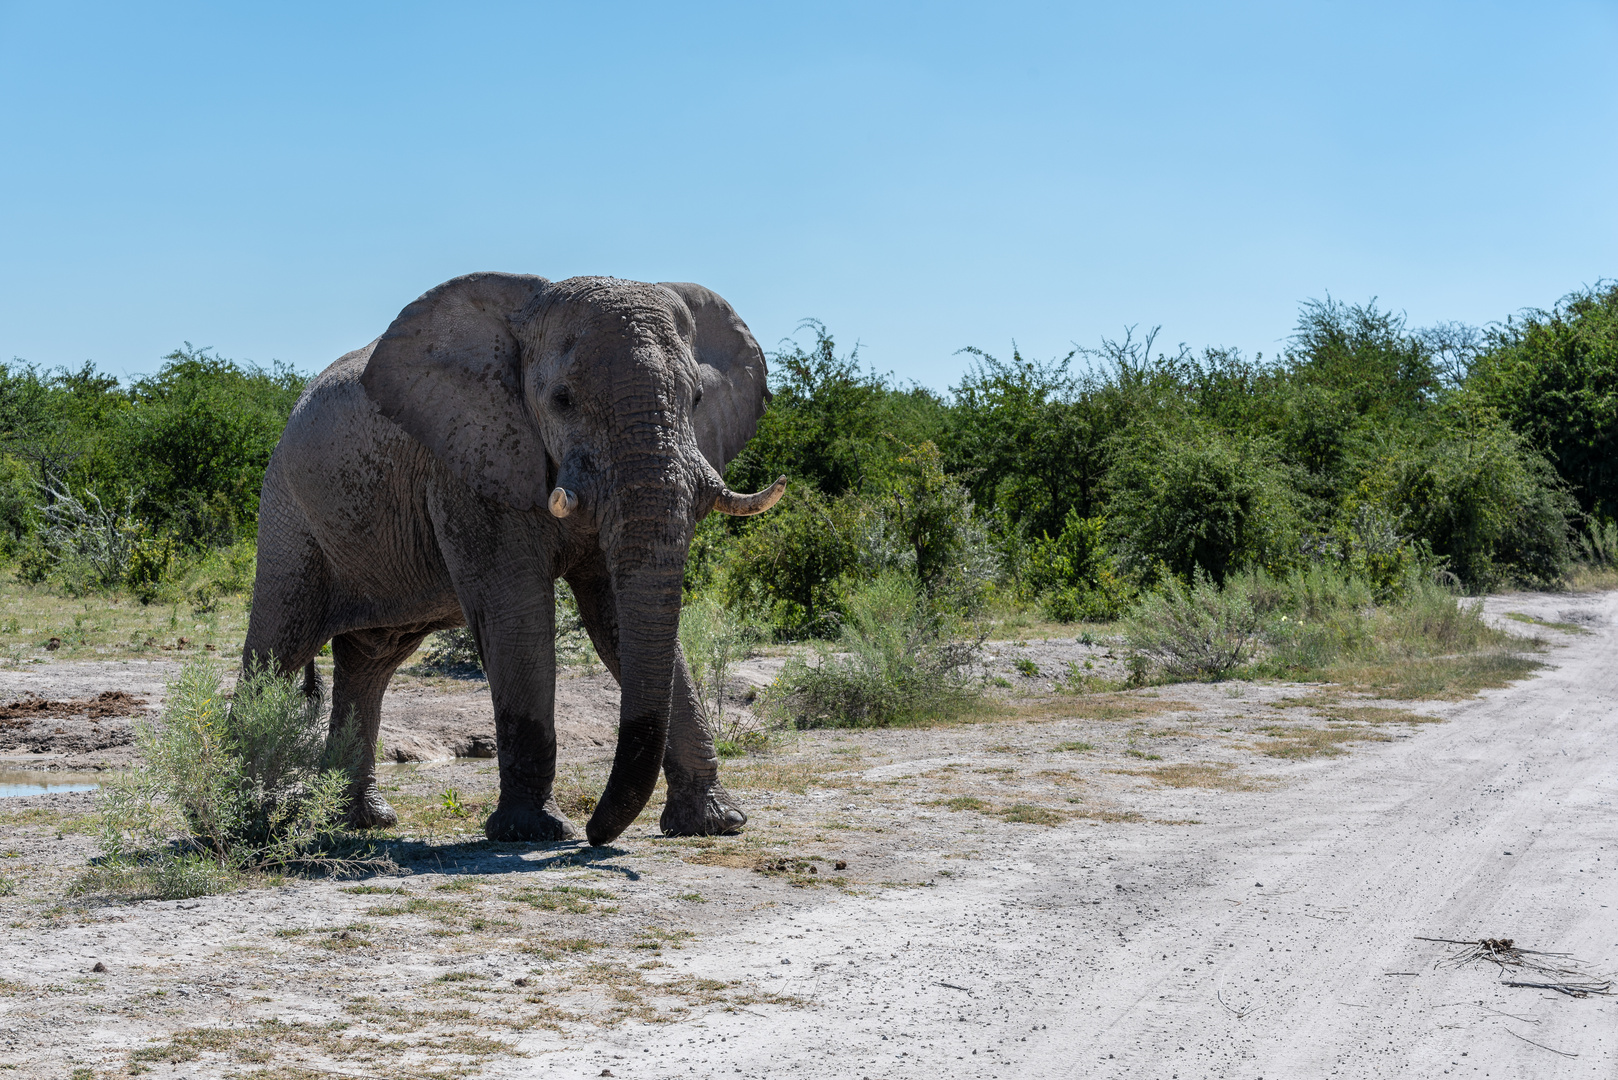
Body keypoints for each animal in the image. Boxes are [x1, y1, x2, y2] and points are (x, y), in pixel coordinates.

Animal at [241, 275, 789, 848]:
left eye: (697, 398)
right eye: (562, 399)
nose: (595, 834)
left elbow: (618, 621)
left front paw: (715, 823)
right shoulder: (469, 468)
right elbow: (518, 616)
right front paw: (532, 832)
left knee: (370, 659)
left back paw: (359, 820)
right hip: (287, 512)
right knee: (277, 648)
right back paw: (247, 814)